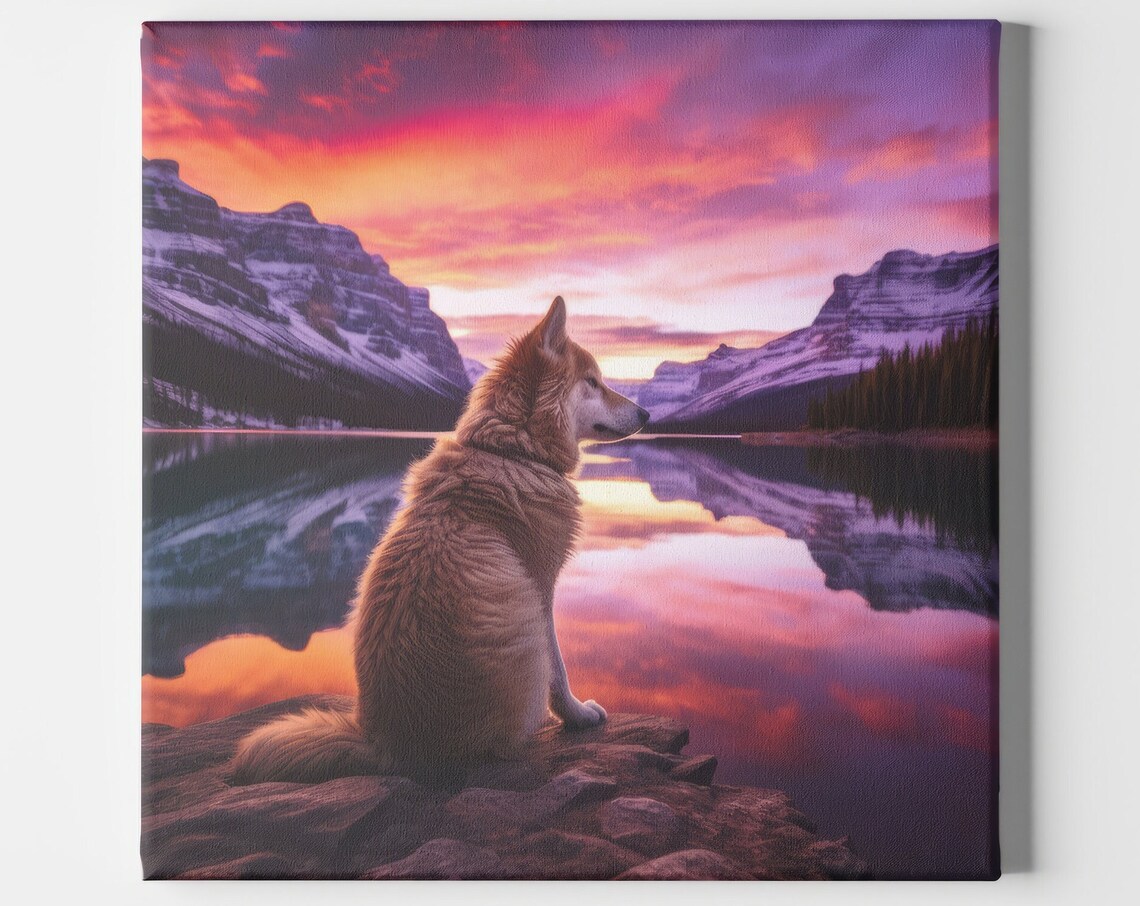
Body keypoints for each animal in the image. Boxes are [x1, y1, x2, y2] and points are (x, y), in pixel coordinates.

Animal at [231, 297, 649, 784]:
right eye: (593, 382)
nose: (648, 415)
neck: (512, 451)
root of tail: (385, 746)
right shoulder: (538, 590)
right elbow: (558, 669)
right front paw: (578, 715)